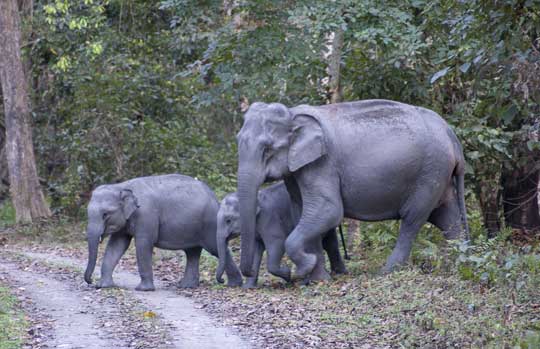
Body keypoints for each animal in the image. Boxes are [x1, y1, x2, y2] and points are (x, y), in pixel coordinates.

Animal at [83, 173, 243, 290]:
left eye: (105, 214)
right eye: (87, 213)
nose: (90, 281)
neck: (121, 186)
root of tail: (215, 198)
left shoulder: (146, 216)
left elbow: (143, 245)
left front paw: (143, 289)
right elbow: (116, 246)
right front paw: (103, 286)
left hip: (209, 225)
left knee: (215, 248)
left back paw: (233, 284)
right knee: (192, 252)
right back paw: (186, 286)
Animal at [215, 181, 346, 286]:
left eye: (228, 220)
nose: (222, 281)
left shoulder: (269, 218)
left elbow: (277, 243)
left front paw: (288, 276)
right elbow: (257, 248)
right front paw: (248, 287)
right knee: (330, 243)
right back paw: (339, 272)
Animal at [236, 99, 468, 278]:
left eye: (267, 149)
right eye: (237, 140)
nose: (248, 273)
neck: (293, 113)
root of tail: (451, 135)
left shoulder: (321, 164)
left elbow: (328, 209)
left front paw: (304, 270)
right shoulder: (297, 170)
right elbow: (302, 210)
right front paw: (318, 278)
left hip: (430, 174)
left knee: (412, 219)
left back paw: (386, 272)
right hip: (439, 176)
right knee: (448, 218)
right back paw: (459, 265)